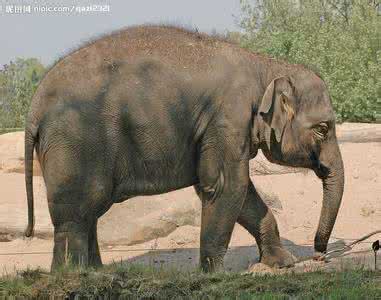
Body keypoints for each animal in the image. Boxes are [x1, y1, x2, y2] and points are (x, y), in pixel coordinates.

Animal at [23, 24, 344, 270]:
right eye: (323, 128)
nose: (319, 255)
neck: (265, 66)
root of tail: (34, 106)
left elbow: (238, 192)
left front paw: (282, 263)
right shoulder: (228, 119)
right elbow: (226, 186)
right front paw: (213, 275)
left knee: (87, 211)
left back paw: (96, 274)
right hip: (74, 142)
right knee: (75, 215)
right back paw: (71, 276)